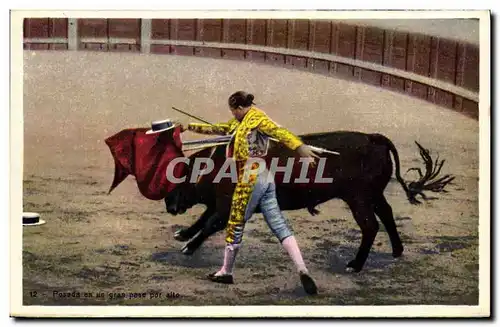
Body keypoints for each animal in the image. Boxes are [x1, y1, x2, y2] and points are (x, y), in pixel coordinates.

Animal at [163, 132, 454, 272]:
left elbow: (210, 223)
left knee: (370, 225)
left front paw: (188, 247)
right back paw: (396, 251)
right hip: (373, 194)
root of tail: (373, 137)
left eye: (179, 178)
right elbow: (203, 218)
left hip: (358, 198)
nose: (169, 206)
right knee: (387, 213)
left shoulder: (228, 206)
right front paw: (183, 235)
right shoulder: (220, 203)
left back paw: (355, 265)